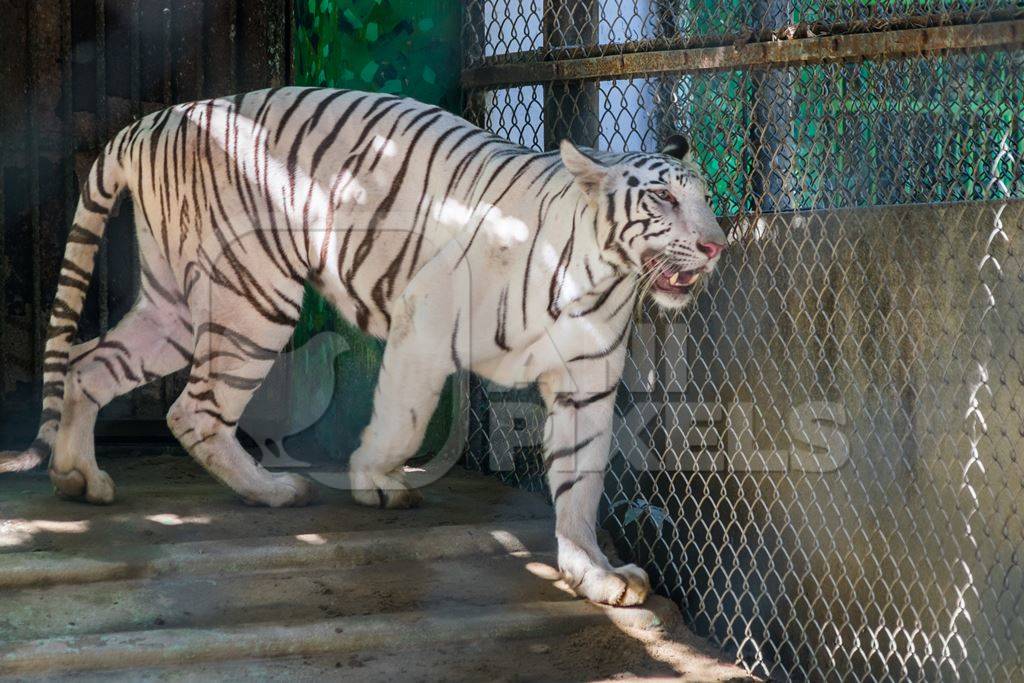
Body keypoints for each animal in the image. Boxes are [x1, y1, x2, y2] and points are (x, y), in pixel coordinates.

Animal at [0, 88, 724, 606]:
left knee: (90, 365)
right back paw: (273, 492)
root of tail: (149, 123)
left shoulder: (586, 383)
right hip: (250, 298)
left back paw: (79, 479)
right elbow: (402, 419)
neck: (599, 278)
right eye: (663, 198)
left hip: (176, 304)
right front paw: (374, 482)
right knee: (192, 410)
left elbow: (580, 482)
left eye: (706, 197)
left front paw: (593, 573)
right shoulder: (425, 326)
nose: (717, 244)